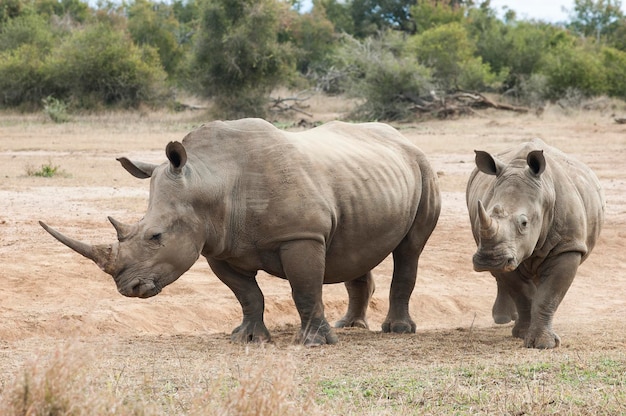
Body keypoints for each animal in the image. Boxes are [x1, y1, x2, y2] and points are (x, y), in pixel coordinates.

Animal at [40, 118, 438, 348]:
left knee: (410, 250)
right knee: (355, 249)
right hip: (365, 180)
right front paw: (247, 339)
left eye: (155, 237)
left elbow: (304, 288)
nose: (128, 288)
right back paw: (351, 325)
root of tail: (402, 138)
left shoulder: (301, 236)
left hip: (423, 167)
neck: (210, 180)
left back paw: (397, 331)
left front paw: (314, 343)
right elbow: (247, 295)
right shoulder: (217, 247)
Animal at [466, 139, 604, 348]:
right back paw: (503, 319)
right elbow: (522, 293)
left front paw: (543, 344)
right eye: (486, 212)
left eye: (524, 223)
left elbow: (549, 294)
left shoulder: (568, 247)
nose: (489, 260)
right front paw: (522, 334)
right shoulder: (508, 253)